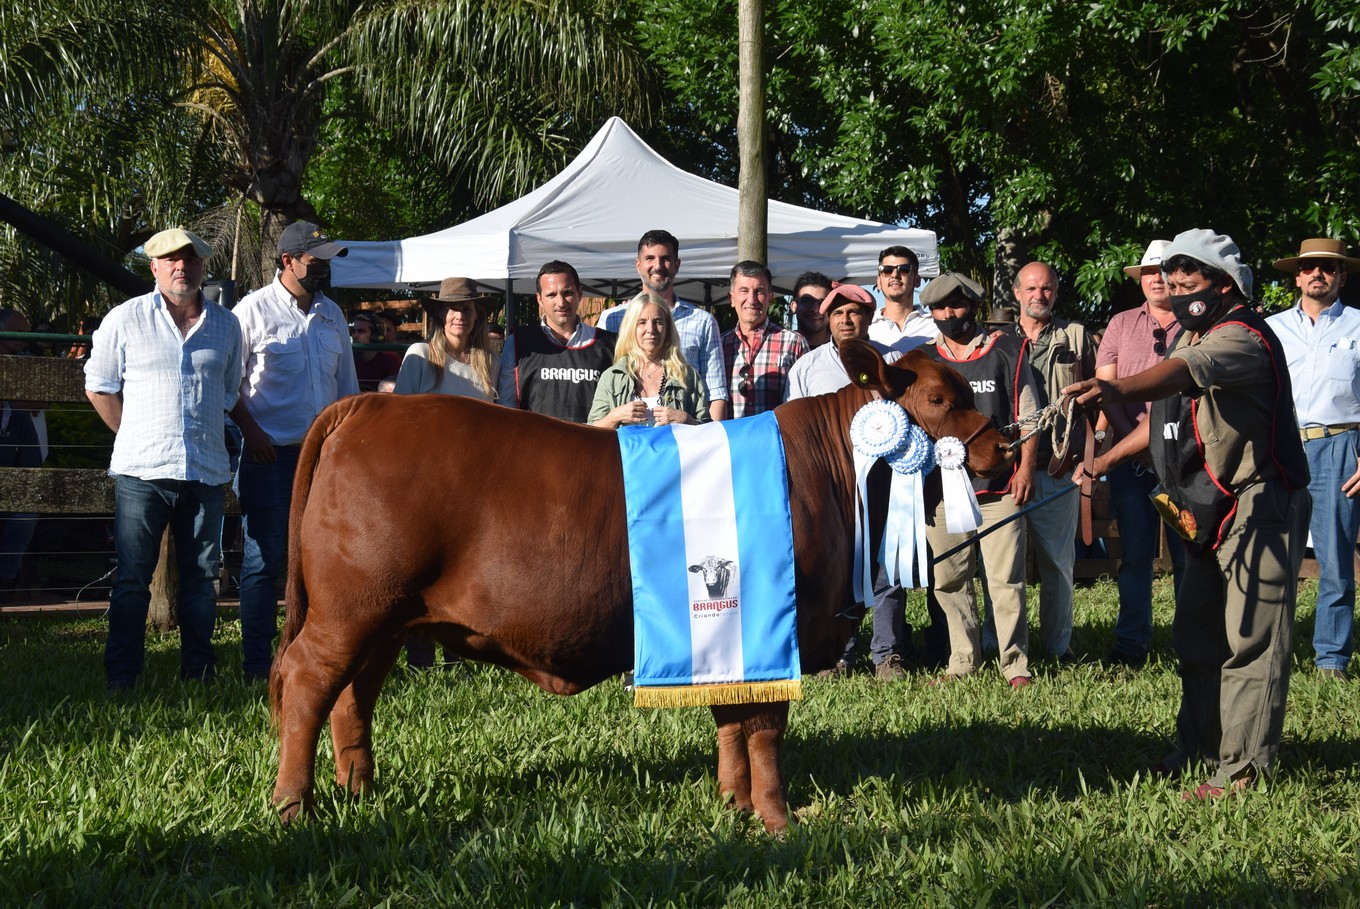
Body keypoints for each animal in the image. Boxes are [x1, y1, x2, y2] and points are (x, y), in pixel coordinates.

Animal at [267, 340, 1011, 832]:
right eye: (939, 398)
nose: (1000, 448)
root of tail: (367, 404)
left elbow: (732, 721)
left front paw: (735, 805)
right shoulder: (778, 625)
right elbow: (764, 729)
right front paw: (779, 820)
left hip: (386, 617)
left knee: (353, 697)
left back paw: (359, 792)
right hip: (351, 608)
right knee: (308, 682)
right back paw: (294, 806)